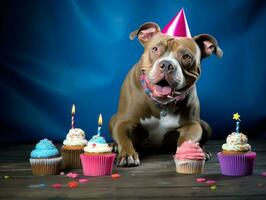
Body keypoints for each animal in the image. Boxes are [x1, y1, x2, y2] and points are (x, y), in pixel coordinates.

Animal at [108, 21, 222, 167]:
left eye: (186, 56)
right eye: (155, 49)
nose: (167, 64)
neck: (162, 104)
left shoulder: (193, 125)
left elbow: (187, 138)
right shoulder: (124, 122)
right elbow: (124, 138)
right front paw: (128, 154)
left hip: (206, 126)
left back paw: (202, 150)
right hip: (112, 119)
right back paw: (114, 146)